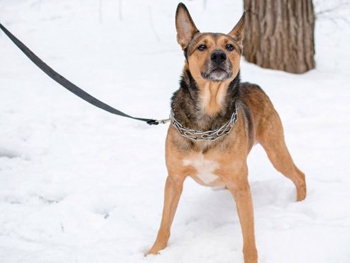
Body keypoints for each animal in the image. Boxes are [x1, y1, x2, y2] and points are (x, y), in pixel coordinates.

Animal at [145, 3, 306, 262]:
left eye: (229, 47)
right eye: (202, 47)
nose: (219, 55)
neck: (207, 122)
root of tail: (254, 85)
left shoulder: (241, 186)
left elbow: (249, 236)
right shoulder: (174, 180)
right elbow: (164, 224)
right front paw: (153, 252)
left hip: (276, 150)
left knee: (299, 176)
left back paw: (299, 205)